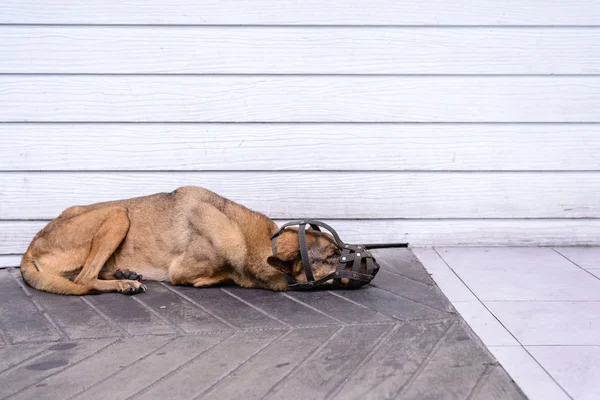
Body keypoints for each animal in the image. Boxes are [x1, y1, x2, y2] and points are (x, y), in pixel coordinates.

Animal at [21, 186, 344, 296]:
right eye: (332, 256)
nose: (374, 267)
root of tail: (30, 247)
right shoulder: (183, 271)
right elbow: (221, 276)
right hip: (117, 214)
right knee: (84, 279)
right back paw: (124, 283)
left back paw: (125, 274)